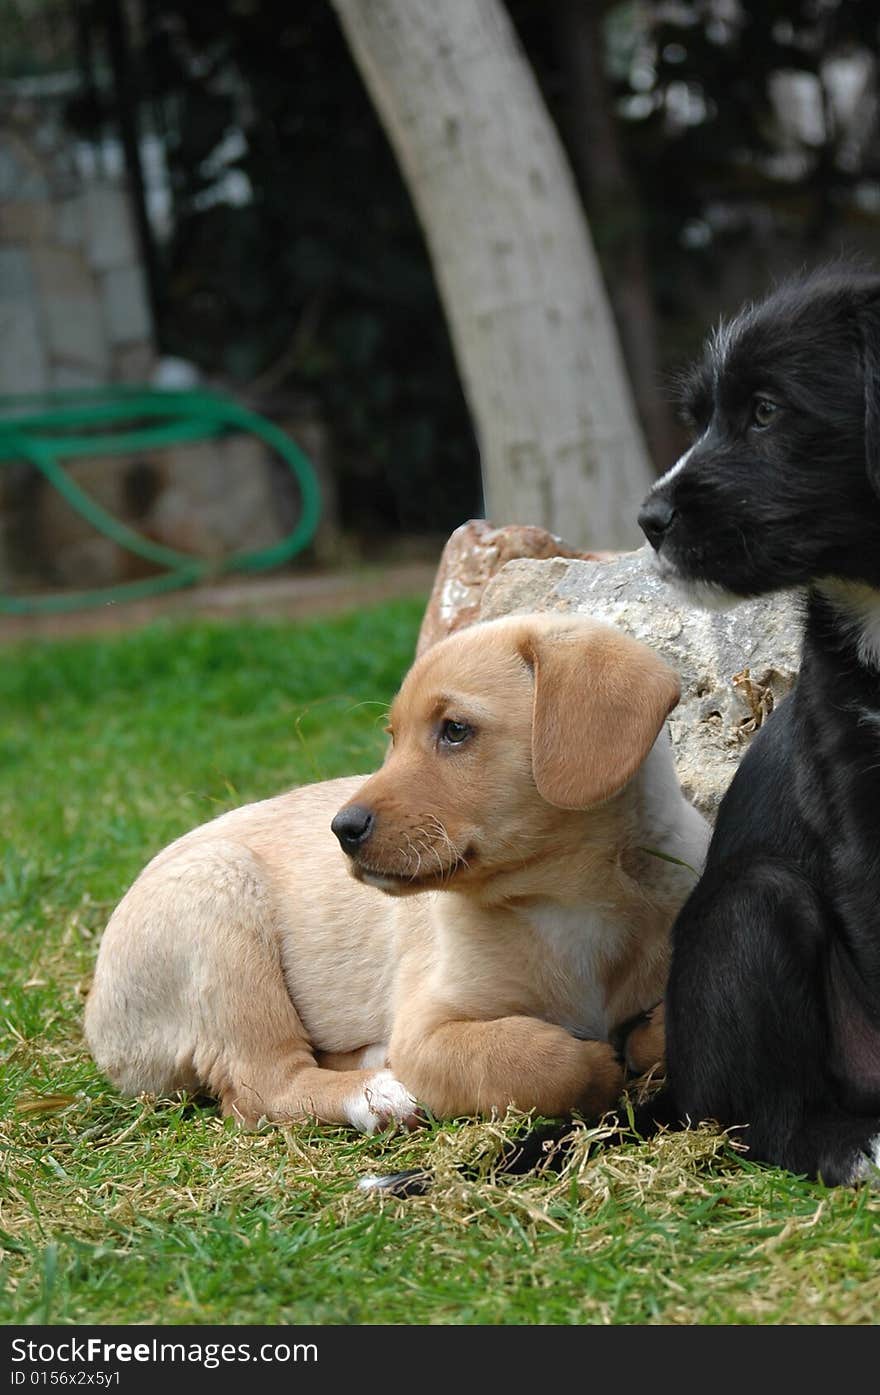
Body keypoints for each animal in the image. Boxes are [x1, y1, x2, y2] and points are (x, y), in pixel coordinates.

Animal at [86, 613, 708, 1132]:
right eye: (393, 737)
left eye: (454, 730)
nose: (342, 829)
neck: (568, 898)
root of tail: (98, 1018)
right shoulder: (429, 1031)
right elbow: (541, 1062)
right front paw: (595, 1063)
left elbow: (662, 1033)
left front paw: (640, 1039)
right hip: (220, 912)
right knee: (261, 1090)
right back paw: (378, 1094)